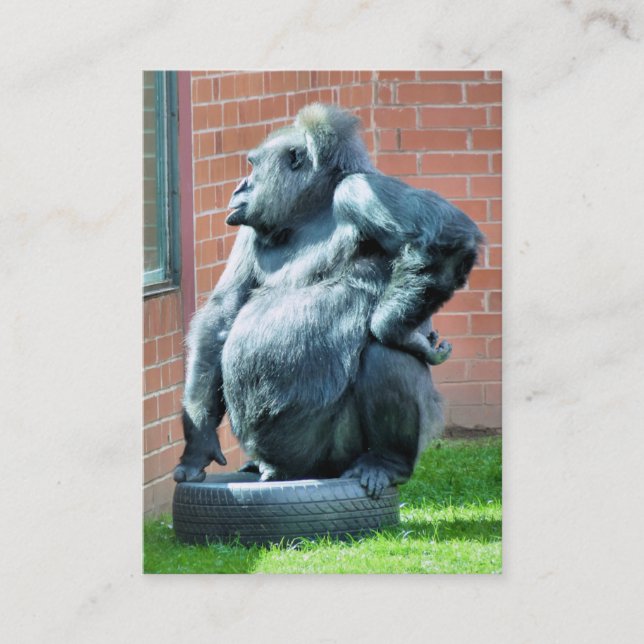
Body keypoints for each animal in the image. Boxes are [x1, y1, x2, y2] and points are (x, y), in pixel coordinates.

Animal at [173, 103, 483, 499]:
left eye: (253, 166)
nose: (240, 186)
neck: (310, 210)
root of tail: (287, 471)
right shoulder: (249, 227)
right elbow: (223, 313)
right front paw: (198, 439)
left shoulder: (360, 191)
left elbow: (447, 238)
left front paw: (398, 331)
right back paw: (258, 465)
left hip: (333, 457)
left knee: (383, 355)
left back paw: (386, 462)